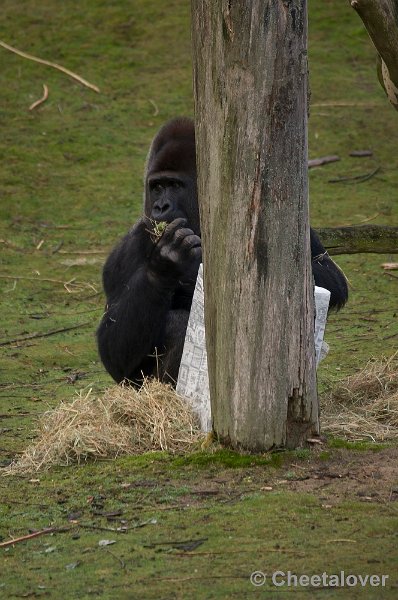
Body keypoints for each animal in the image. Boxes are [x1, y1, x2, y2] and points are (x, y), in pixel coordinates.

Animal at [96, 118, 348, 384]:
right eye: (157, 187)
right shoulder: (125, 253)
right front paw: (166, 263)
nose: (160, 206)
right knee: (177, 325)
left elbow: (329, 275)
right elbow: (113, 351)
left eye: (174, 185)